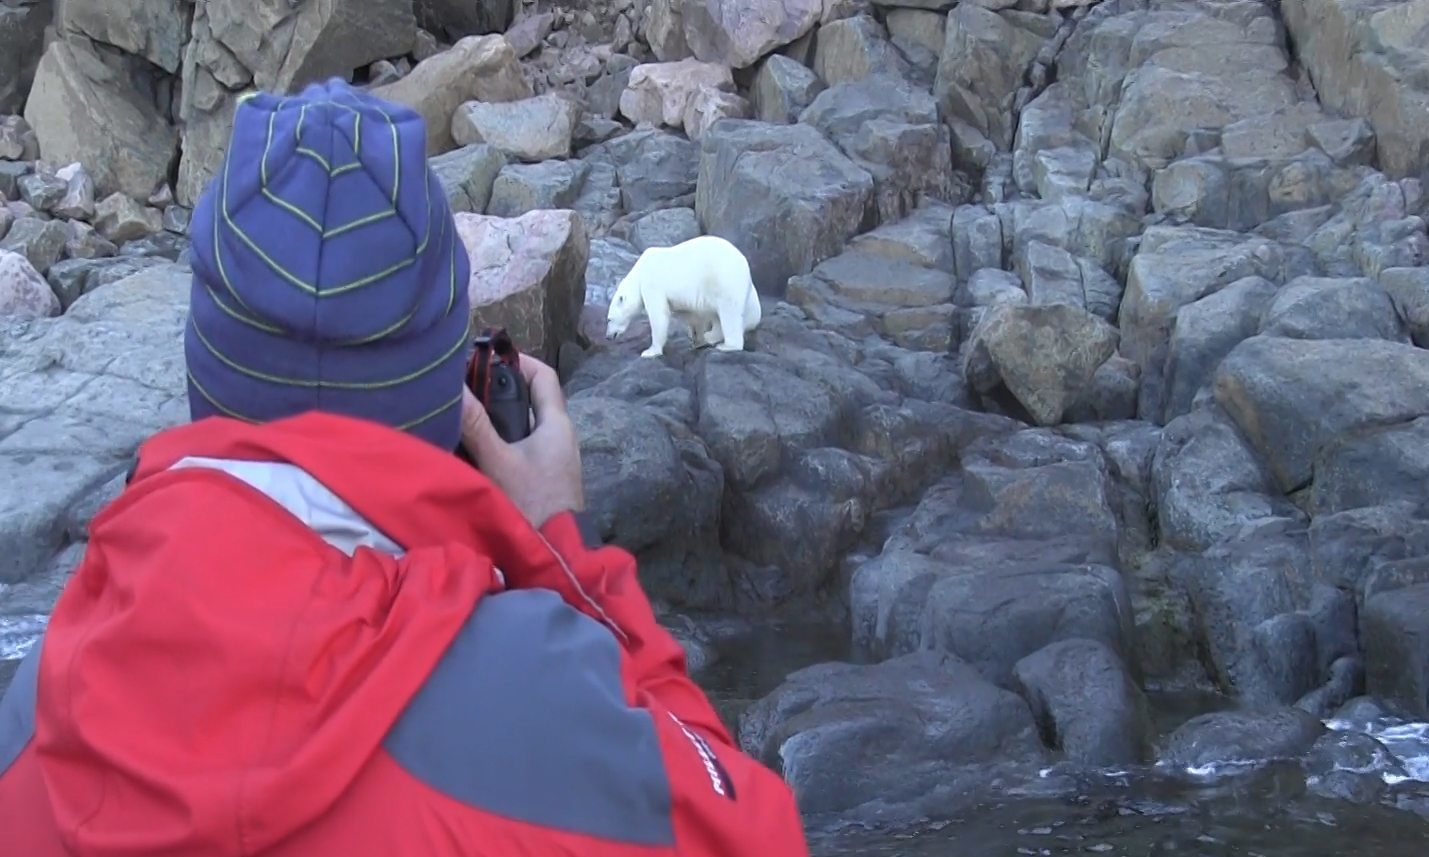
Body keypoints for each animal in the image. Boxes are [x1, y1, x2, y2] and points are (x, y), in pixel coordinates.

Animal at [603, 232, 760, 357]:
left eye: (609, 319)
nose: (608, 336)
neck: (640, 272)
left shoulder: (652, 285)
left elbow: (659, 315)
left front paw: (650, 351)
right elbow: (692, 315)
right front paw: (696, 339)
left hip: (725, 281)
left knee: (729, 312)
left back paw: (726, 345)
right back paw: (711, 336)